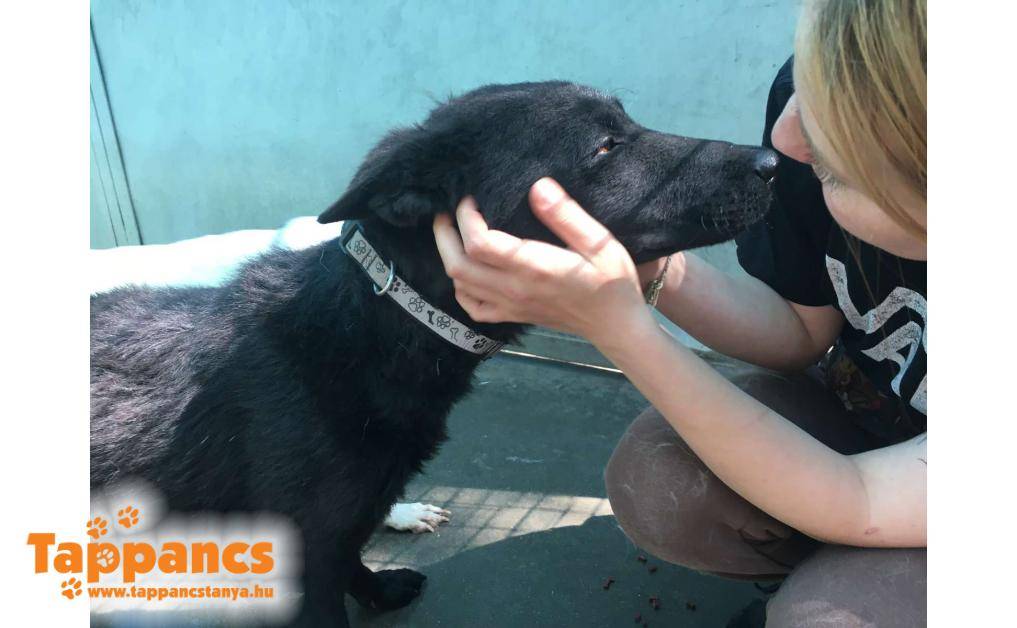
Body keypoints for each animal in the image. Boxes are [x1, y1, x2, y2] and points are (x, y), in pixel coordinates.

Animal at [91, 81, 776, 626]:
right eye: (606, 147)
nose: (773, 161)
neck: (370, 328)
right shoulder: (305, 552)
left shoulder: (343, 522)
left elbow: (351, 557)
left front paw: (378, 590)